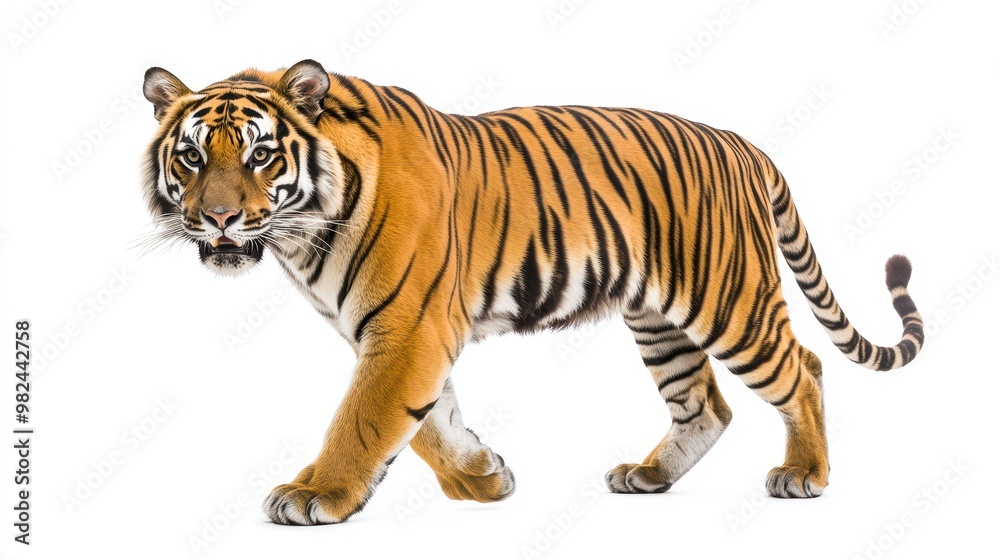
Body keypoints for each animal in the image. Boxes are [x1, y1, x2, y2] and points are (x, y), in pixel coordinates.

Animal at [139, 59, 924, 526]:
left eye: (260, 154)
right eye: (193, 155)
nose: (219, 219)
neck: (304, 233)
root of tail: (741, 142)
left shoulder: (406, 329)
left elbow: (363, 420)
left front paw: (315, 494)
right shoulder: (406, 333)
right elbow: (428, 422)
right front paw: (484, 479)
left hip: (729, 302)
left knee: (804, 368)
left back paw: (805, 474)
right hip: (658, 319)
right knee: (706, 406)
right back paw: (649, 476)